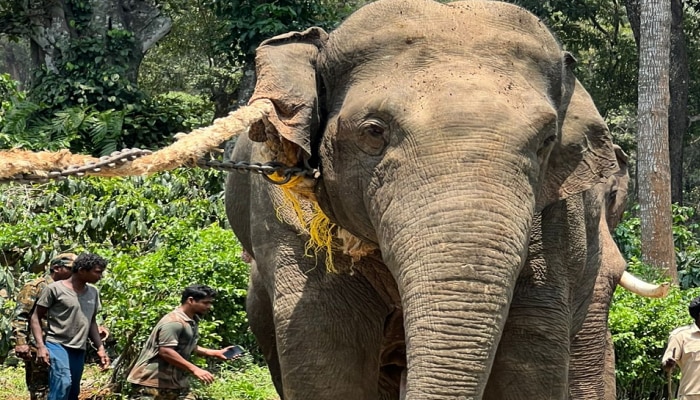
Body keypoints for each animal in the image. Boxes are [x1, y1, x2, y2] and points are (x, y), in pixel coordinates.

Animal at [223, 1, 616, 398]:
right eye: (373, 131)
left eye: (546, 142)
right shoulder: (284, 207)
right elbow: (326, 350)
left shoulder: (556, 222)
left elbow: (531, 355)